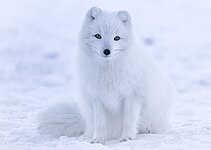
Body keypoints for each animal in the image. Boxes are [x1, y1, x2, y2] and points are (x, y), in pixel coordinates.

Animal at [38, 7, 176, 144]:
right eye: (98, 36)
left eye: (117, 38)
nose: (106, 51)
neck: (108, 71)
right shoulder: (97, 98)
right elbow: (100, 124)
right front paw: (98, 139)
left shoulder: (132, 96)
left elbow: (128, 121)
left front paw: (127, 138)